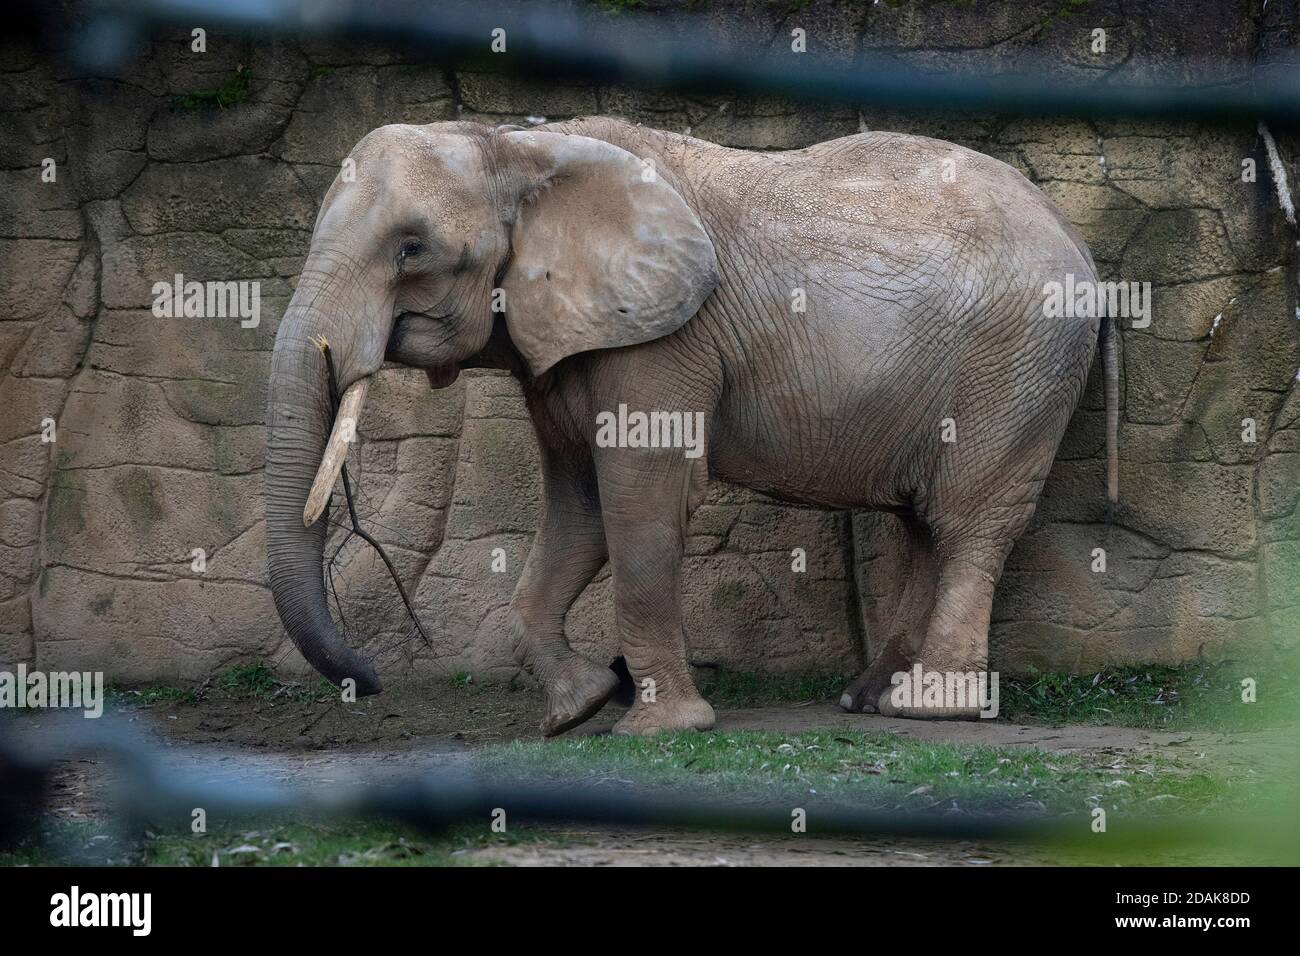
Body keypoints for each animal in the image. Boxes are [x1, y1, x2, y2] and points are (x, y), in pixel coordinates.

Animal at [263, 113, 1118, 738]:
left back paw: (931, 710)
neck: (518, 147)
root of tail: (1082, 244)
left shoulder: (665, 337)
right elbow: (578, 509)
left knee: (967, 521)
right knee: (921, 522)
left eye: (411, 249)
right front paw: (577, 709)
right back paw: (868, 700)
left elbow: (640, 498)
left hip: (1017, 365)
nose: (371, 679)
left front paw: (659, 728)